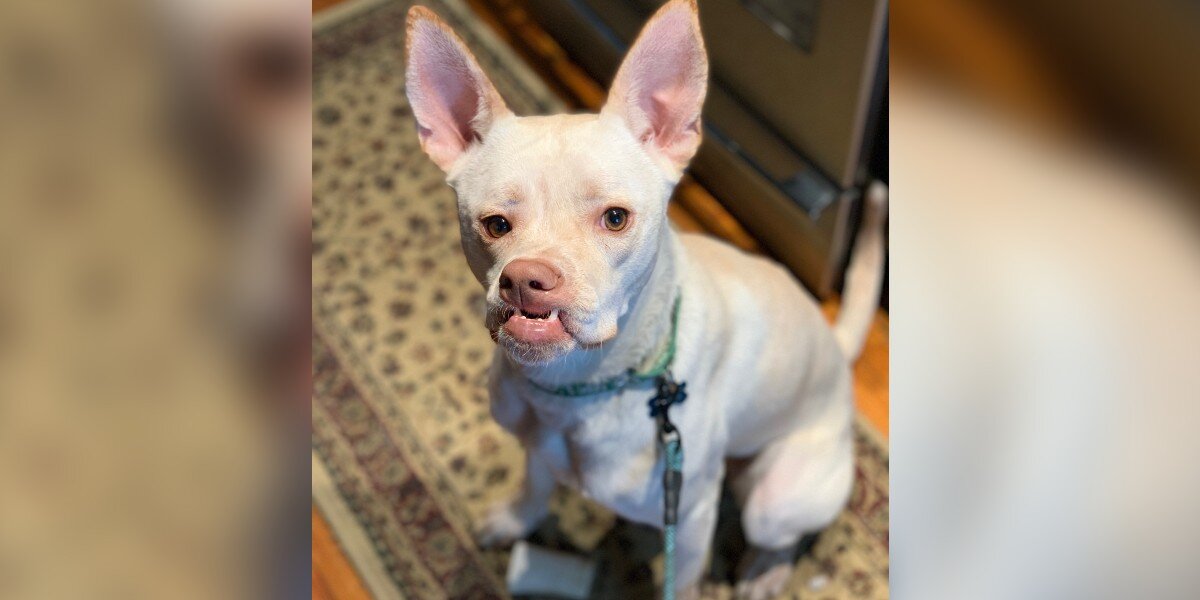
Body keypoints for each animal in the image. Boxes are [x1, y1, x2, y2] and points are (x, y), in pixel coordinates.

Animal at [403, 2, 883, 597]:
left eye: (615, 218)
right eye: (494, 224)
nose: (526, 280)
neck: (578, 388)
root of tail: (836, 350)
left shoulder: (693, 515)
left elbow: (685, 579)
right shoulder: (536, 446)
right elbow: (535, 486)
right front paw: (516, 521)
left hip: (774, 501)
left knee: (780, 535)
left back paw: (764, 573)